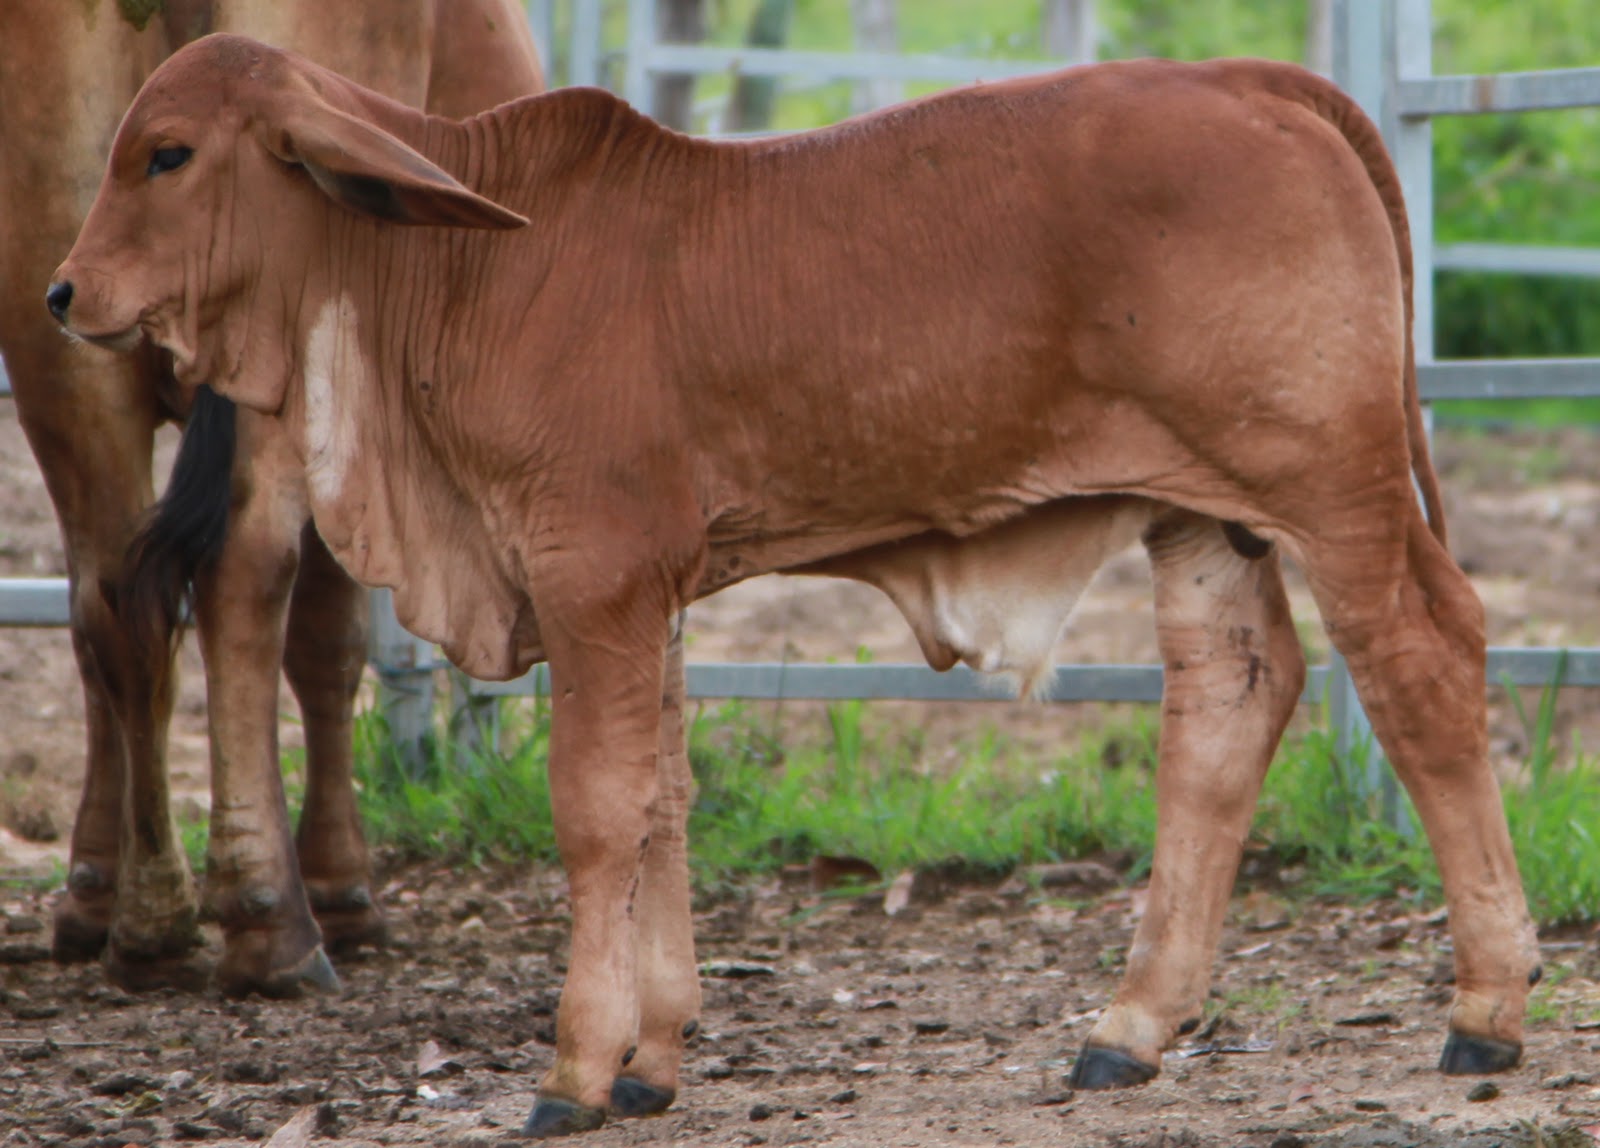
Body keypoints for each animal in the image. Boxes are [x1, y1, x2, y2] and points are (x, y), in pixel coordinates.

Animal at [0, 3, 542, 996]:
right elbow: (328, 640)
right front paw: (340, 885)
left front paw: (90, 892)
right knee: (239, 578)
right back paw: (270, 919)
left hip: (55, 326)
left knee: (112, 603)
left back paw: (151, 915)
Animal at [51, 35, 1541, 1137]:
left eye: (168, 152)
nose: (63, 294)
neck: (456, 265)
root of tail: (1255, 79)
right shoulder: (647, 594)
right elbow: (661, 798)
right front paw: (653, 1059)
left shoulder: (592, 578)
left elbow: (597, 811)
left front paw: (575, 1073)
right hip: (1203, 516)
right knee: (1234, 694)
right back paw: (1130, 1027)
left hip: (1332, 487)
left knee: (1422, 663)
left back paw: (1485, 1009)